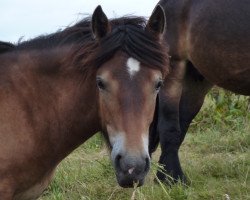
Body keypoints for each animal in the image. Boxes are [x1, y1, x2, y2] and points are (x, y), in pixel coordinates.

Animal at [148, 0, 250, 184]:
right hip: (174, 68)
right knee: (168, 126)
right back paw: (173, 180)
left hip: (196, 81)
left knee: (181, 124)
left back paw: (164, 178)